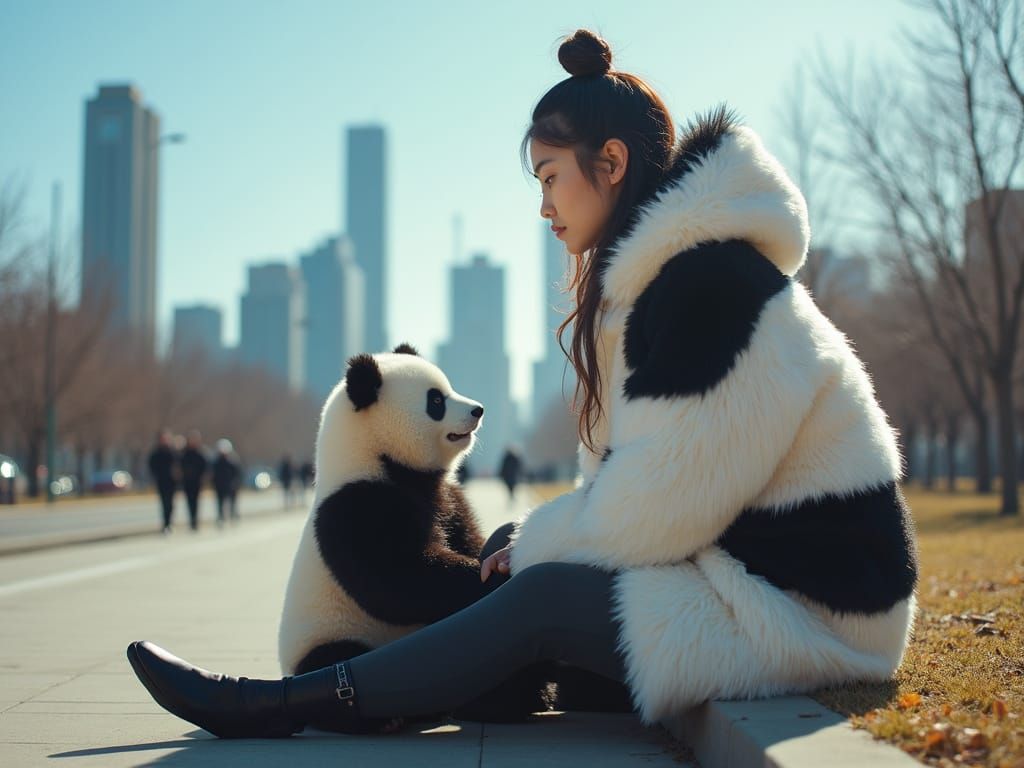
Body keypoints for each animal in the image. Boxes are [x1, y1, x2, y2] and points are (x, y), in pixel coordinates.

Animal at [277, 344, 494, 679]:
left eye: (448, 389)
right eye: (436, 401)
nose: (477, 410)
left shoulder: (448, 497)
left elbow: (465, 536)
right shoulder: (355, 506)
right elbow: (400, 578)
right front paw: (483, 574)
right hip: (330, 639)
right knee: (337, 654)